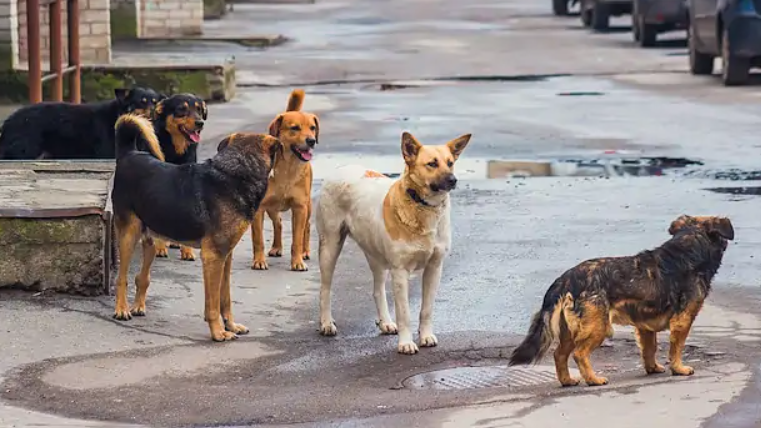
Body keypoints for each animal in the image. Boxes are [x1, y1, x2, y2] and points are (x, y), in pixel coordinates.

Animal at [0, 87, 165, 160]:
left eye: (155, 102)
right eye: (141, 102)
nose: (154, 112)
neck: (118, 114)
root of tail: (8, 123)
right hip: (28, 150)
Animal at [148, 93, 208, 260]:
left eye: (199, 109)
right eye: (182, 109)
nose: (200, 123)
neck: (176, 149)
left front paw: (187, 251)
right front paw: (160, 247)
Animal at [252, 89, 318, 272]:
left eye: (313, 128)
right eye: (294, 128)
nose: (311, 141)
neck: (288, 168)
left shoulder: (300, 208)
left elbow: (297, 239)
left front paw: (297, 261)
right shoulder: (259, 209)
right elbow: (258, 239)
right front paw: (259, 260)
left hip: (307, 206)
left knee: (306, 228)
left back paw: (305, 251)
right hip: (272, 207)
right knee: (278, 223)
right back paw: (276, 247)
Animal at [314, 130, 470, 354]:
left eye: (450, 163)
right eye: (432, 164)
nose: (453, 180)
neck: (422, 206)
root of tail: (341, 168)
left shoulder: (434, 268)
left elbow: (427, 309)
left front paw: (426, 336)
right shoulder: (400, 271)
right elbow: (404, 313)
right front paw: (406, 343)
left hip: (376, 255)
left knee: (377, 290)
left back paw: (385, 322)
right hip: (330, 246)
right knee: (325, 288)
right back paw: (326, 323)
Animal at [508, 216, 732, 386]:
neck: (688, 249)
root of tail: (566, 279)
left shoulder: (644, 326)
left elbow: (649, 349)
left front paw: (652, 368)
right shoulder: (683, 320)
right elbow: (676, 348)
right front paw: (678, 368)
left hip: (571, 330)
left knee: (559, 355)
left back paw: (568, 381)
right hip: (598, 327)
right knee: (579, 354)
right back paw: (593, 380)